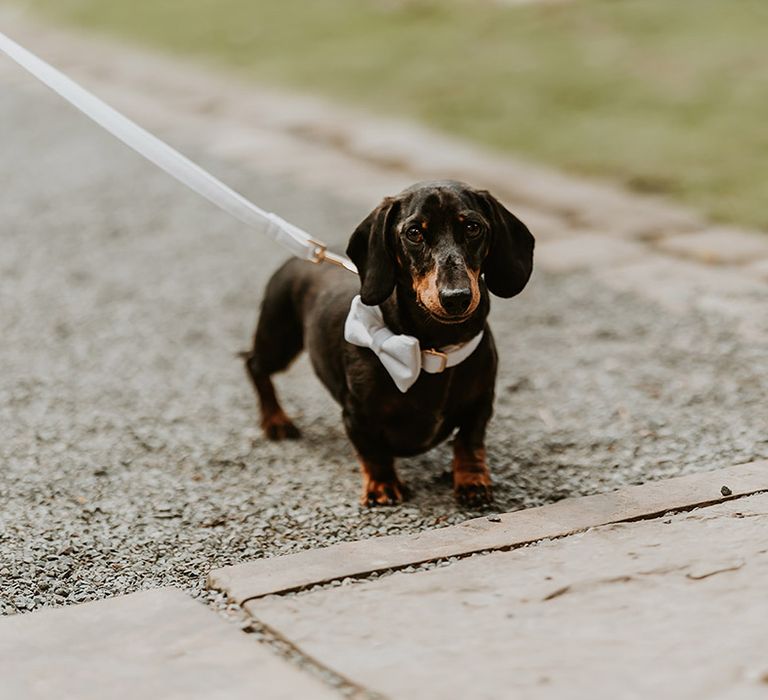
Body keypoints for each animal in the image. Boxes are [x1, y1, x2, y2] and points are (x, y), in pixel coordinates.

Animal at [243, 180, 532, 506]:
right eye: (414, 232)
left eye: (473, 227)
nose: (456, 298)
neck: (431, 350)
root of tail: (302, 255)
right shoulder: (357, 414)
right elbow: (373, 453)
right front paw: (382, 485)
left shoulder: (480, 403)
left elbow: (469, 442)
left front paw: (472, 480)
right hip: (279, 340)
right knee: (253, 364)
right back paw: (275, 420)